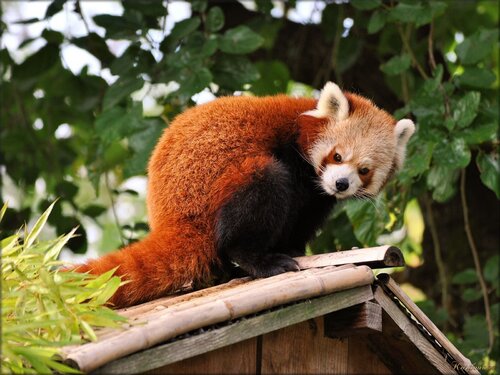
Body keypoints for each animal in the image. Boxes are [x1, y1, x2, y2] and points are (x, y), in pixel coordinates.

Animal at [74, 82, 416, 308]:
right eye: (337, 156)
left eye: (364, 170)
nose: (341, 184)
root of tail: (172, 218)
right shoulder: (294, 159)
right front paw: (287, 251)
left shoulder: (319, 195)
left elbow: (306, 216)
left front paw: (295, 248)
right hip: (222, 189)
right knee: (264, 185)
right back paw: (257, 260)